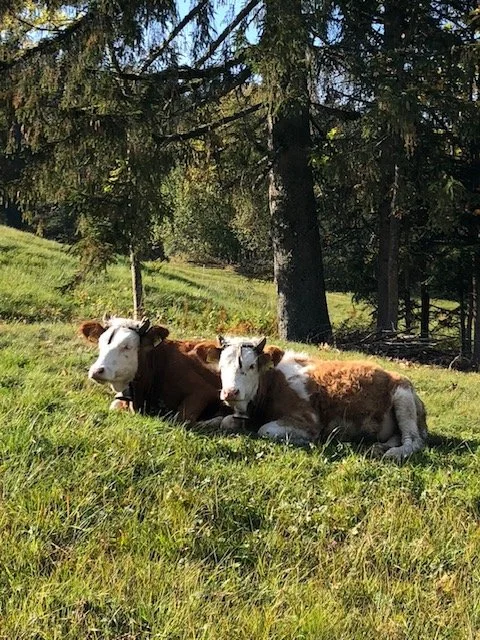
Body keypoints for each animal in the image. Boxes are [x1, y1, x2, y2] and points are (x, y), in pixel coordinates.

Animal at [79, 315, 225, 426]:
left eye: (127, 347)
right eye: (100, 343)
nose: (96, 371)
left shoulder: (205, 391)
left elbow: (182, 418)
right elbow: (114, 406)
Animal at [195, 336, 428, 460]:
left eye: (251, 366)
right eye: (221, 365)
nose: (230, 392)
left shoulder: (308, 421)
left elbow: (265, 430)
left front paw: (306, 441)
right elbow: (224, 421)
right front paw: (205, 423)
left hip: (403, 398)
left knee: (414, 441)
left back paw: (394, 453)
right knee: (398, 437)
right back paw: (378, 447)